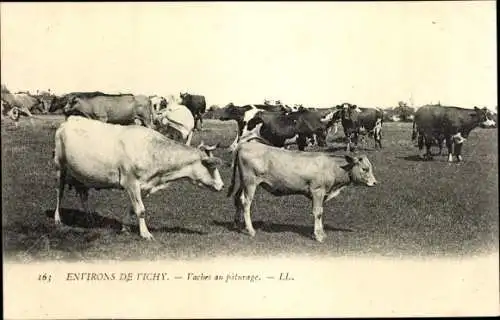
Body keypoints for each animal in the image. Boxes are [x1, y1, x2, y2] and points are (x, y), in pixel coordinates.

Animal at [53, 116, 224, 239]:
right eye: (212, 166)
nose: (222, 186)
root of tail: (68, 121)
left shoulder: (145, 186)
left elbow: (133, 208)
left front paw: (125, 228)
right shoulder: (130, 182)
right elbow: (141, 210)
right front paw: (145, 234)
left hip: (82, 175)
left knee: (83, 195)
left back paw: (89, 218)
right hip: (60, 167)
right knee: (59, 193)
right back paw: (57, 219)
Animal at [229, 138, 376, 242]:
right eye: (365, 169)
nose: (375, 182)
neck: (332, 167)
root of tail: (243, 145)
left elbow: (320, 211)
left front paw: (321, 233)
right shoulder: (317, 190)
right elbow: (318, 212)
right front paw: (318, 235)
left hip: (243, 182)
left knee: (237, 198)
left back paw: (238, 224)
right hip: (250, 182)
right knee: (246, 203)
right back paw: (250, 230)